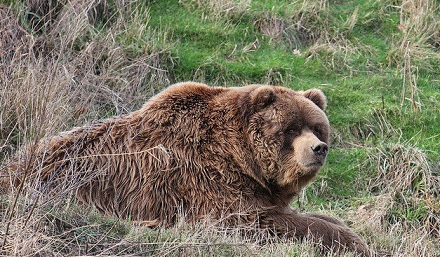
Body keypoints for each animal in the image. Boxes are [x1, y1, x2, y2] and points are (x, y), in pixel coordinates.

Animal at [1, 81, 370, 254]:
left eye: (318, 127)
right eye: (291, 129)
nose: (318, 148)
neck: (240, 156)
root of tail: (13, 165)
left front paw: (343, 228)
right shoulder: (206, 180)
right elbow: (251, 221)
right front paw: (354, 241)